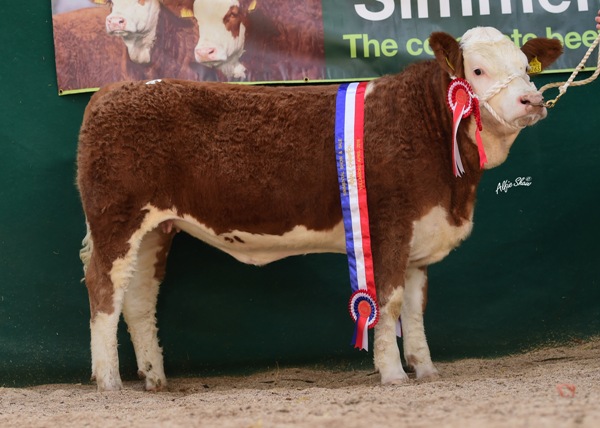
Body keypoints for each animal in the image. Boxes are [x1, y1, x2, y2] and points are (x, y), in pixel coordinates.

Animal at [76, 25, 564, 390]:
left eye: (526, 68)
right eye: (477, 70)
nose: (533, 100)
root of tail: (116, 90)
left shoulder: (419, 233)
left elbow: (415, 309)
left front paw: (425, 369)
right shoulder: (388, 225)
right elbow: (388, 303)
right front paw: (392, 374)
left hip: (155, 228)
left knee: (139, 297)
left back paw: (154, 378)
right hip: (116, 217)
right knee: (104, 288)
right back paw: (109, 381)